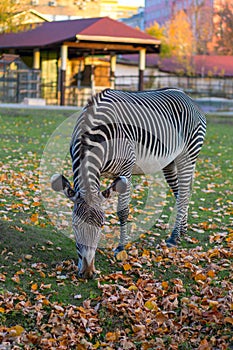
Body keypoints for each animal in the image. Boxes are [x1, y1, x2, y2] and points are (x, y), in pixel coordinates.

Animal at [50, 87, 206, 278]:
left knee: (183, 194)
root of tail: (186, 96)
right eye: (75, 226)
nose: (88, 273)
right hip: (169, 162)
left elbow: (122, 212)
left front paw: (121, 248)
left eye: (101, 225)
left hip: (187, 155)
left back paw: (174, 237)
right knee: (181, 193)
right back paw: (182, 229)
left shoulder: (126, 170)